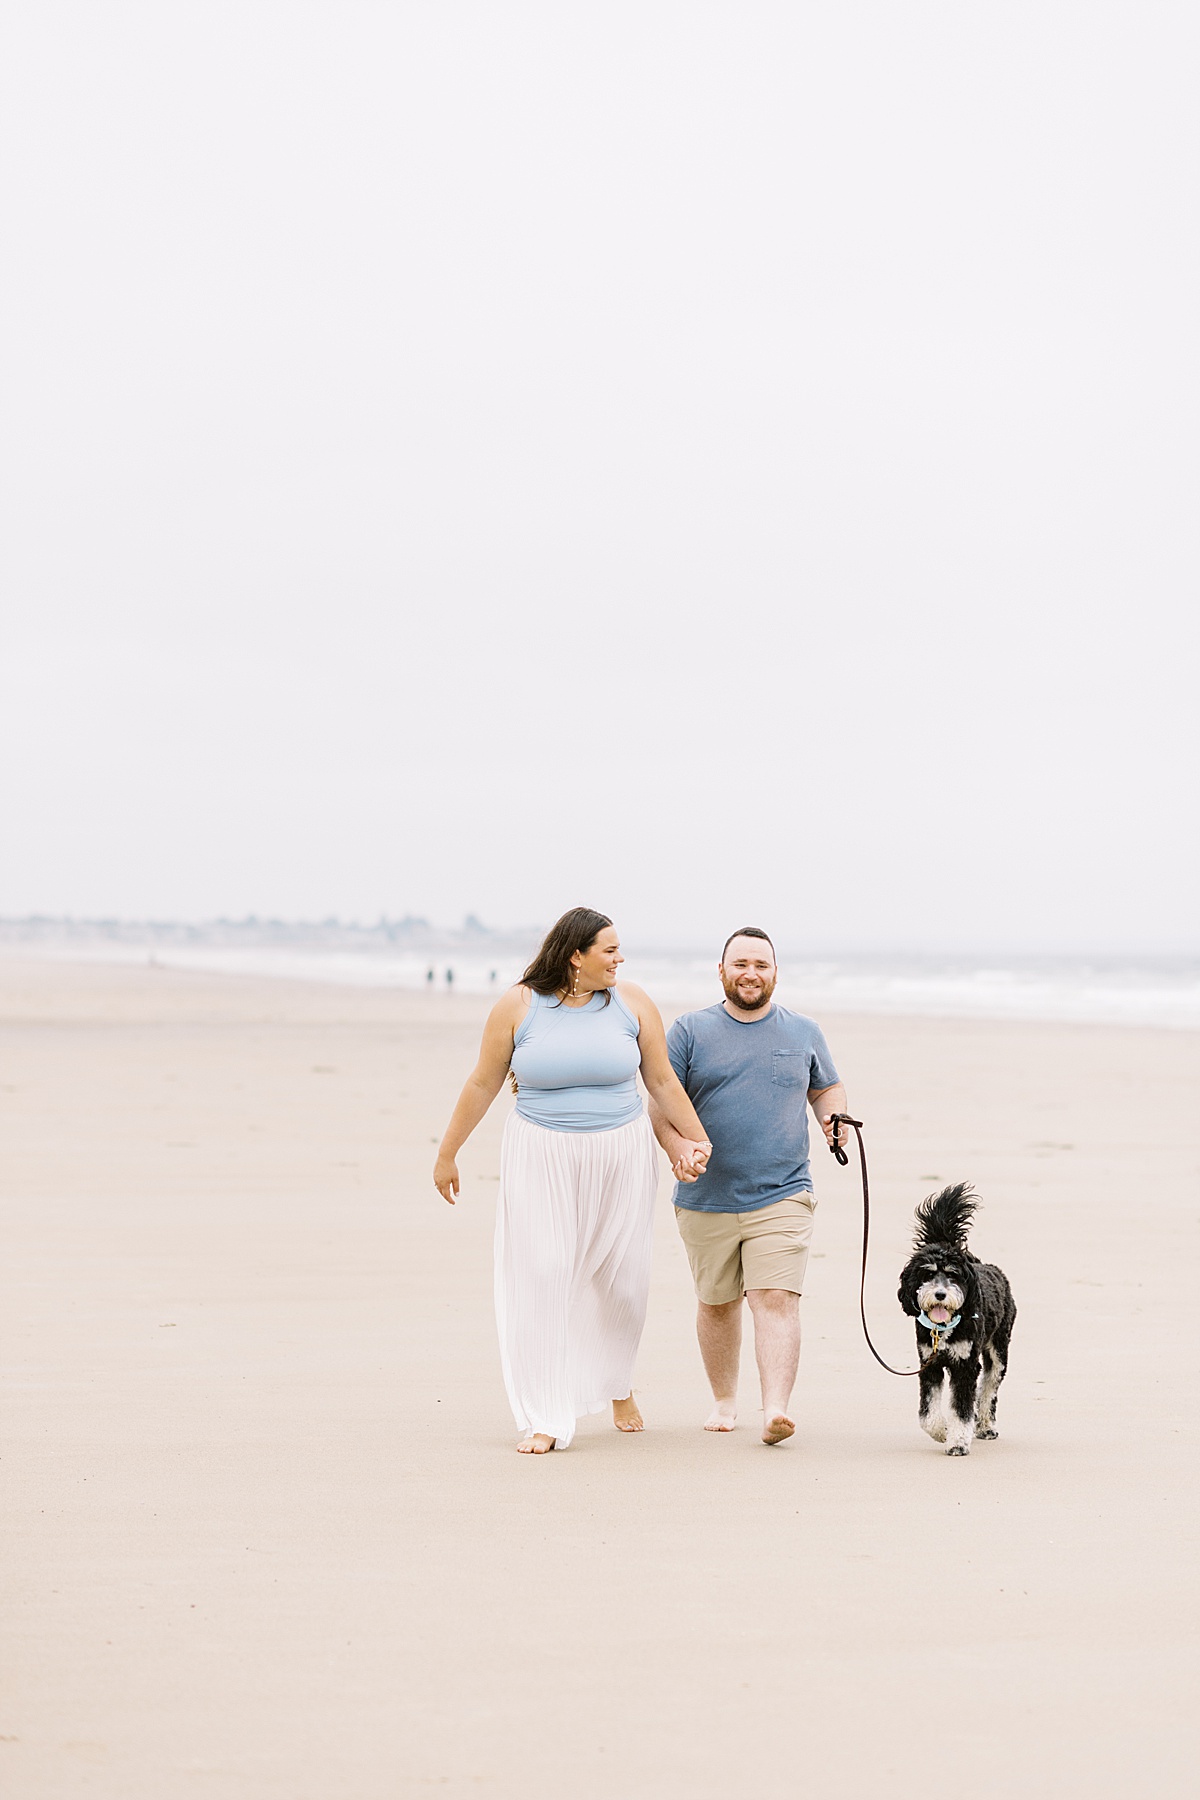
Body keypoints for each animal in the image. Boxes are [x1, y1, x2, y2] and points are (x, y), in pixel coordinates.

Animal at [895, 1188, 1021, 1454]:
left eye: (953, 1275)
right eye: (927, 1274)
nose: (940, 1294)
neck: (943, 1329)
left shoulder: (965, 1367)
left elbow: (961, 1410)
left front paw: (958, 1442)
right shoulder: (929, 1366)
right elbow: (927, 1414)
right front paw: (943, 1431)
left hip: (998, 1351)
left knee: (988, 1391)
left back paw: (986, 1427)